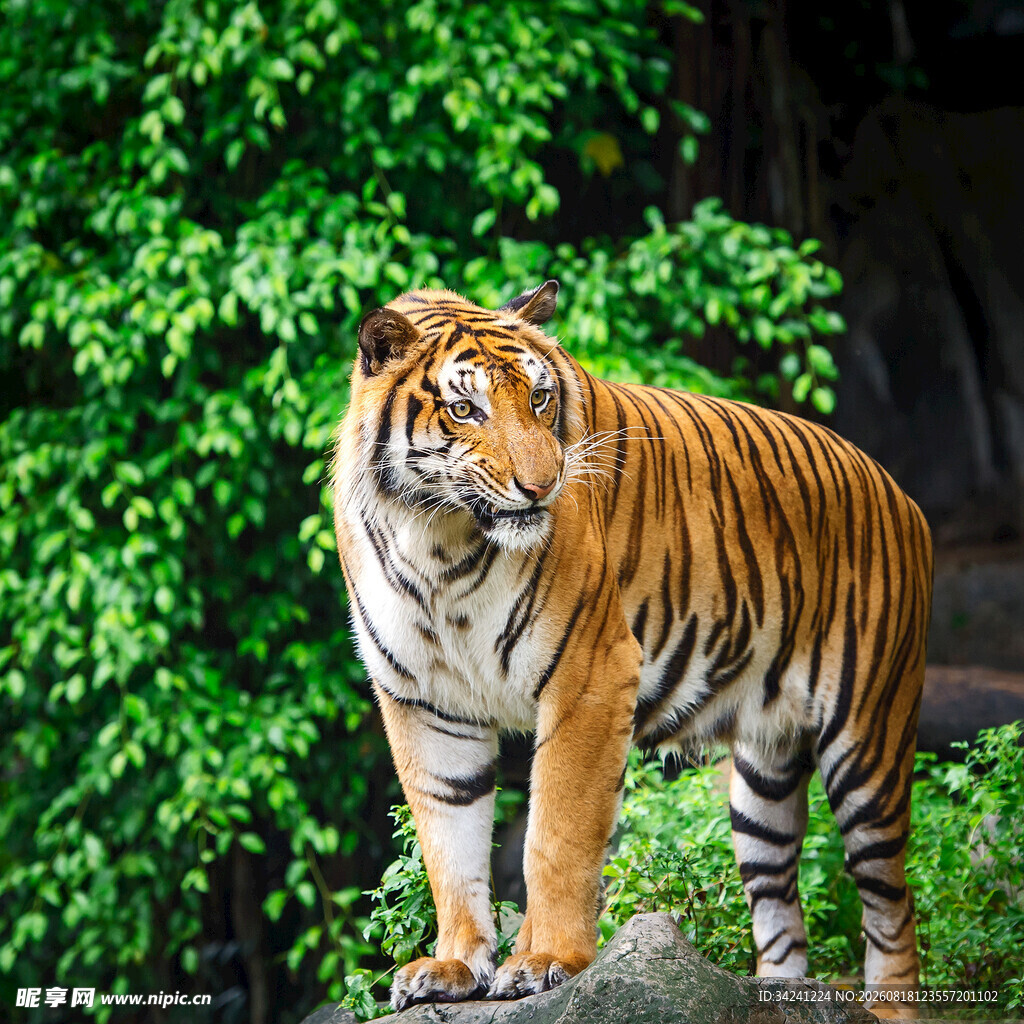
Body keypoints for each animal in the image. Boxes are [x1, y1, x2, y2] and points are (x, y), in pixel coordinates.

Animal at [330, 280, 933, 1015]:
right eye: (464, 409)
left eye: (539, 399)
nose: (543, 484)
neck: (438, 539)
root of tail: (899, 491)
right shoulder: (423, 701)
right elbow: (449, 843)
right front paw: (453, 966)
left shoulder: (589, 675)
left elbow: (555, 835)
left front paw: (546, 960)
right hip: (763, 778)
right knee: (779, 902)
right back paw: (776, 997)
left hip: (867, 743)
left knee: (891, 903)